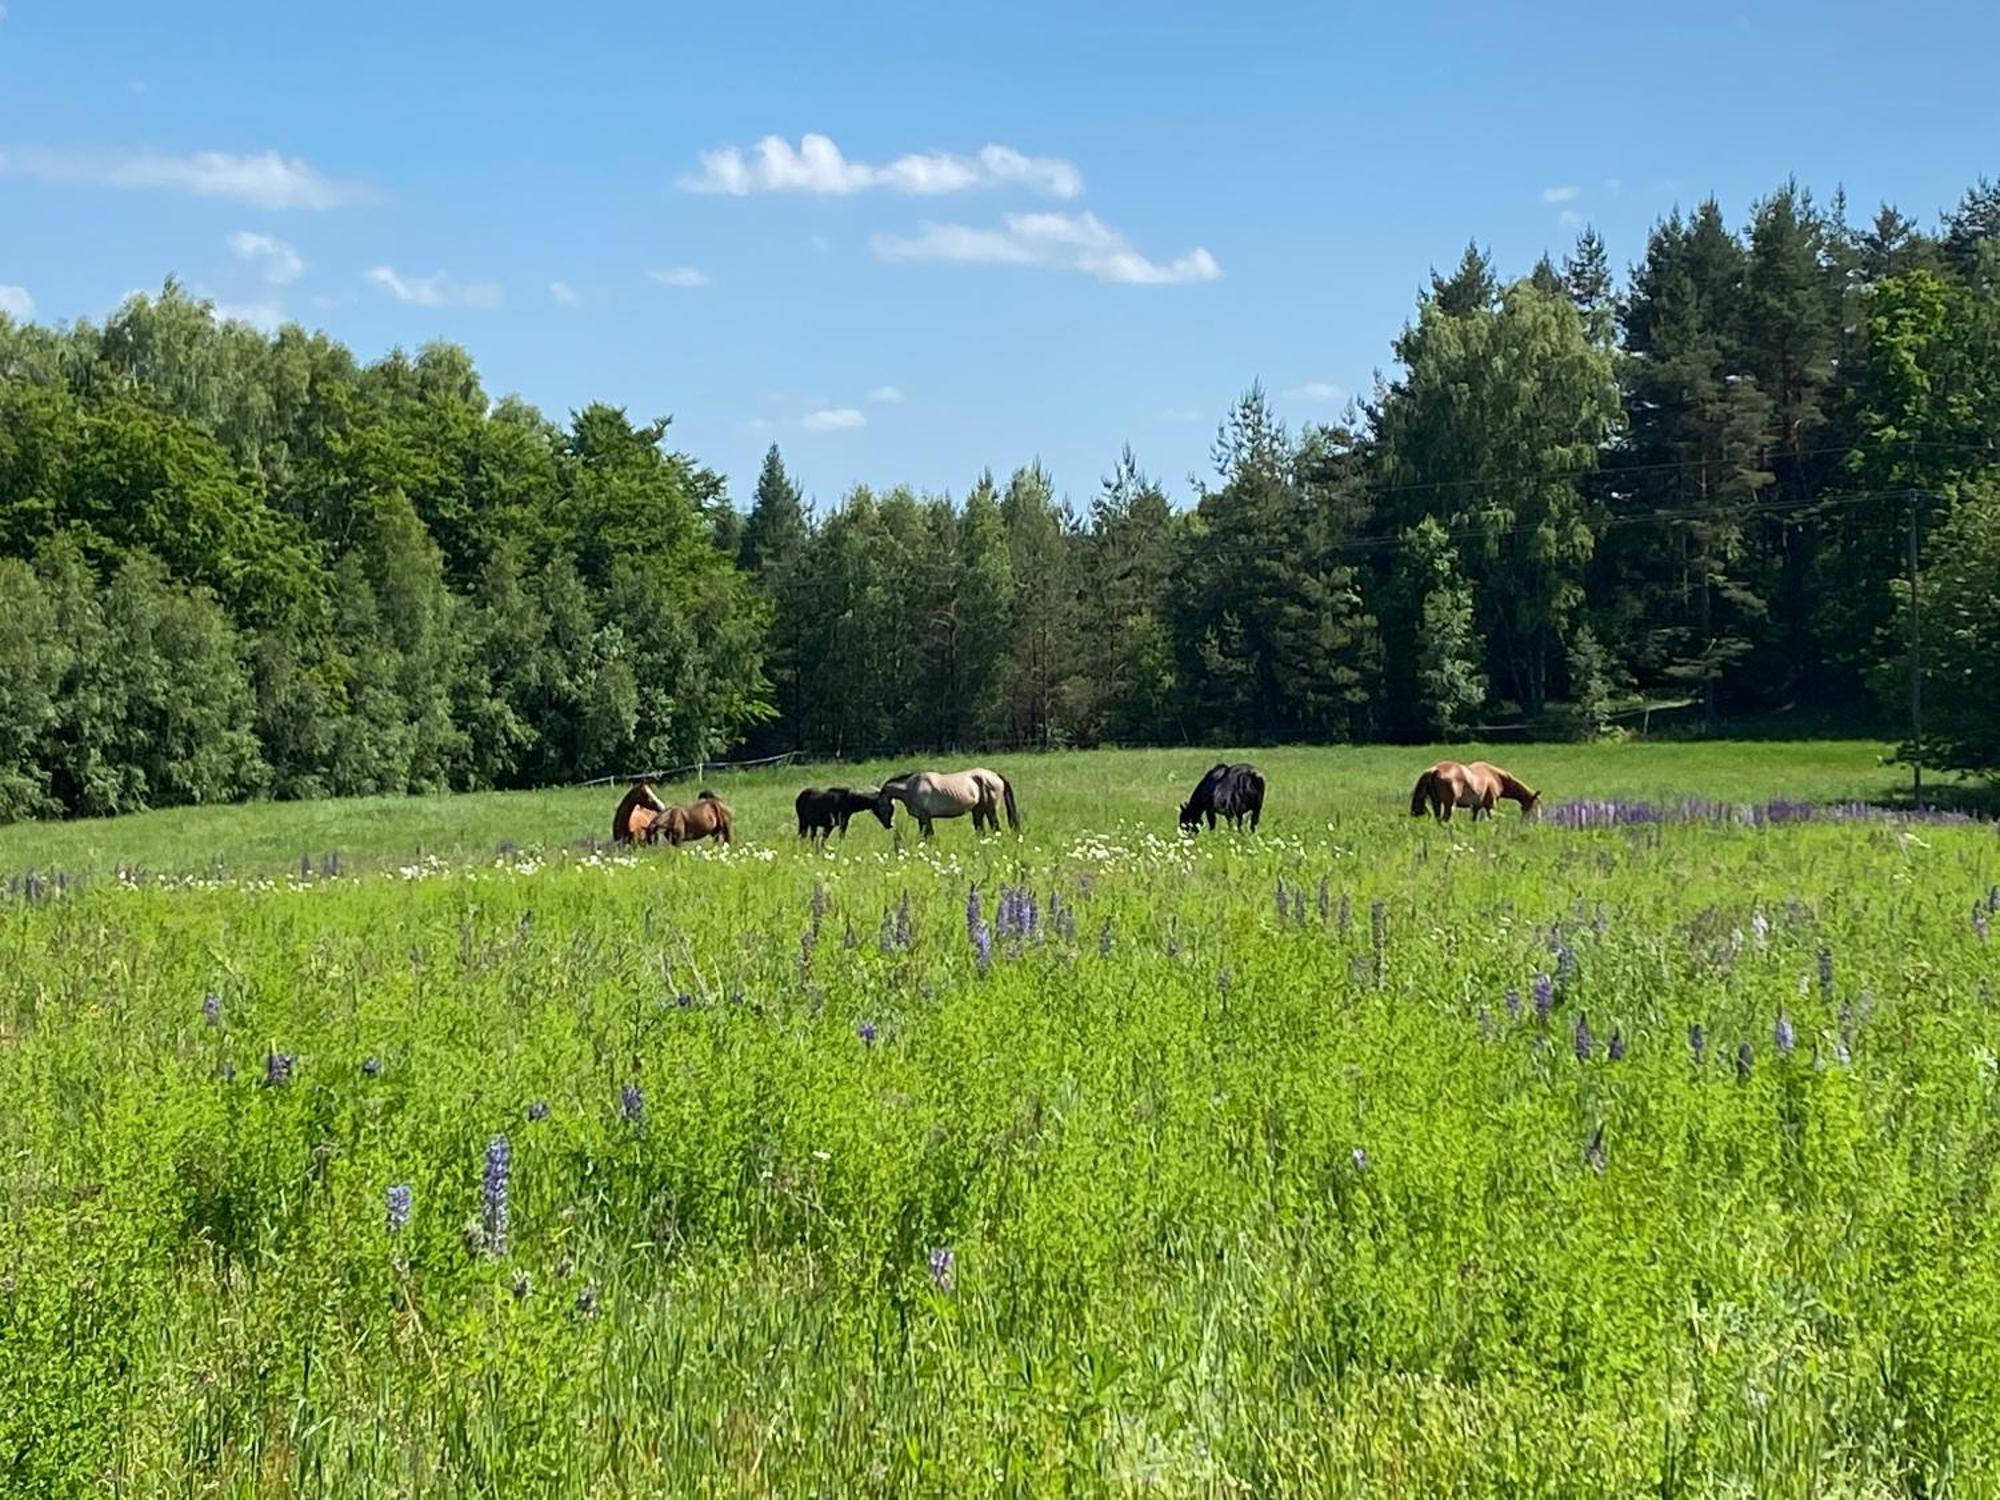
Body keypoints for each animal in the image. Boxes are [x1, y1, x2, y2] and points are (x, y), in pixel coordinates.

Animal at [880, 768, 1024, 840]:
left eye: (881, 807)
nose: (888, 825)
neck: (912, 786)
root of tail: (996, 775)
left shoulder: (925, 817)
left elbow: (928, 835)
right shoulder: (922, 818)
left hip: (990, 809)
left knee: (995, 828)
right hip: (978, 810)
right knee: (980, 830)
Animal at [1408, 756, 1544, 828]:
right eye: (1534, 807)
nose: (1535, 824)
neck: (1495, 776)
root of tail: (1435, 769)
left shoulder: (1476, 807)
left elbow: (1474, 820)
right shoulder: (1491, 805)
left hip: (1436, 803)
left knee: (1438, 819)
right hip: (1449, 805)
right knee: (1445, 819)